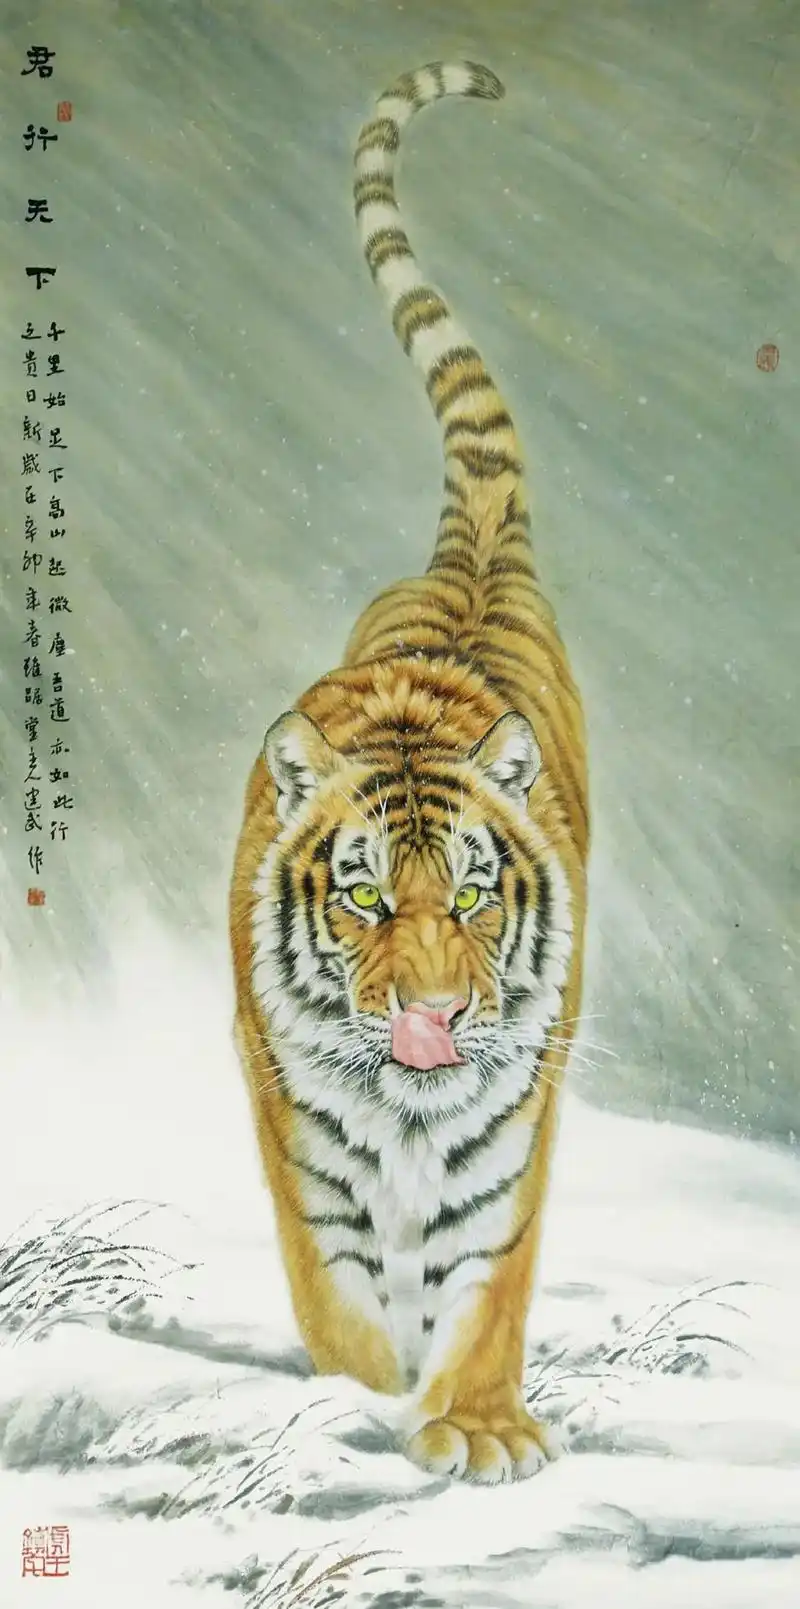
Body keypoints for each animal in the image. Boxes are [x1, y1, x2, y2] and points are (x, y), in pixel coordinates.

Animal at [229, 60, 589, 1485]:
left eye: (477, 896)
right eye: (365, 897)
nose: (434, 1020)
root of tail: (473, 550)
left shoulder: (514, 1122)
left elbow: (490, 1269)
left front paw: (477, 1428)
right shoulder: (292, 1123)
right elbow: (328, 1278)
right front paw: (359, 1395)